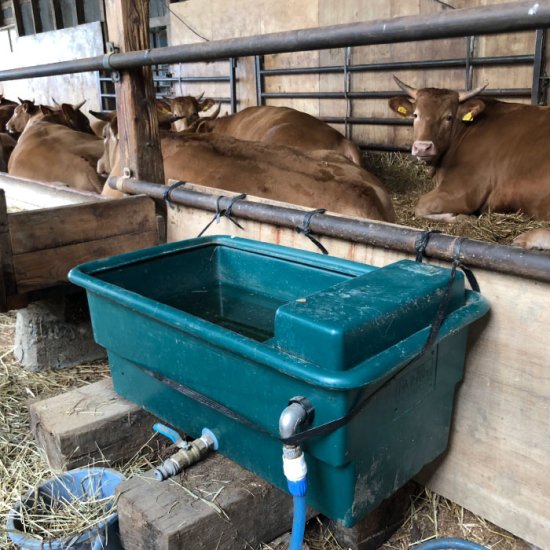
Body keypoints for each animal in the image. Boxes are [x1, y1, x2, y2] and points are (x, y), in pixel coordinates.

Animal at [390, 75, 550, 250]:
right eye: (415, 115)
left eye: (449, 117)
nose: (422, 147)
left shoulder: (465, 190)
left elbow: (421, 205)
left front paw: (462, 217)